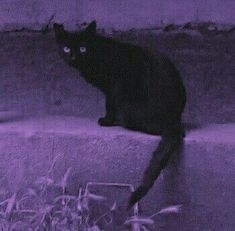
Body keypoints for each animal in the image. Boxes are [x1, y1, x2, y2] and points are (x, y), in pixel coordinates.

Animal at [54, 21, 186, 208]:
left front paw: (107, 120)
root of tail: (174, 120)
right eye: (66, 48)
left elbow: (110, 104)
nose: (73, 57)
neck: (98, 52)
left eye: (82, 48)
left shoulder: (113, 87)